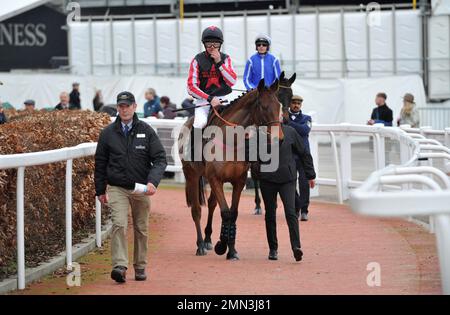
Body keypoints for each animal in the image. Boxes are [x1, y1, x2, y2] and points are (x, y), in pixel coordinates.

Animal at [178, 78, 284, 260]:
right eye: (264, 107)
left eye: (279, 105)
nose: (279, 138)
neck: (231, 140)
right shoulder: (215, 179)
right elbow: (226, 212)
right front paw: (222, 245)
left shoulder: (238, 181)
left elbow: (232, 213)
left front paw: (232, 249)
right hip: (191, 175)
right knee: (196, 210)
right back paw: (200, 245)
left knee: (212, 204)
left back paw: (207, 240)